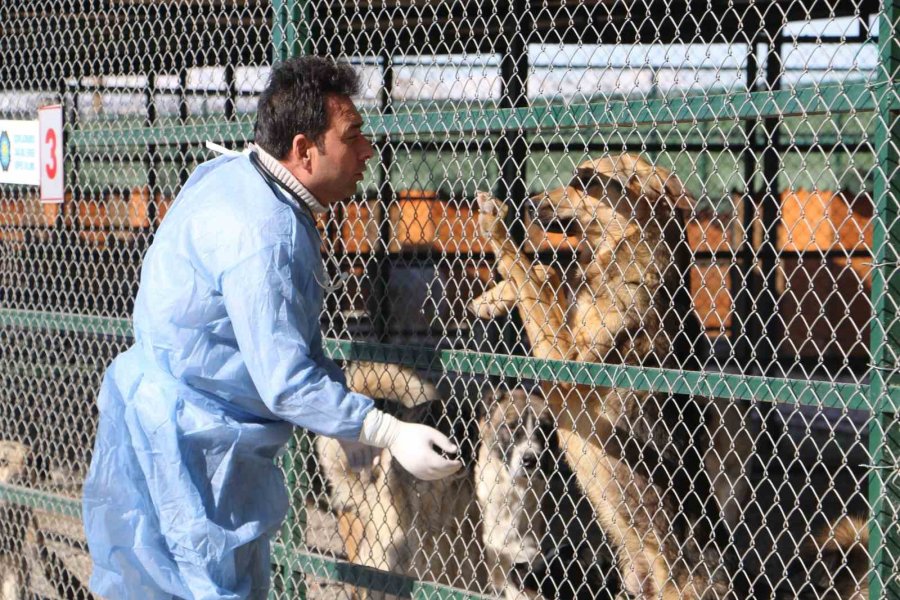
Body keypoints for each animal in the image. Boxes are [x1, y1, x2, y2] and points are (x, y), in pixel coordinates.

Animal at [468, 156, 740, 600]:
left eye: (585, 181)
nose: (528, 202)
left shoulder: (567, 365)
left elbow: (532, 274)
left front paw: (497, 228)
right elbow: (545, 274)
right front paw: (492, 298)